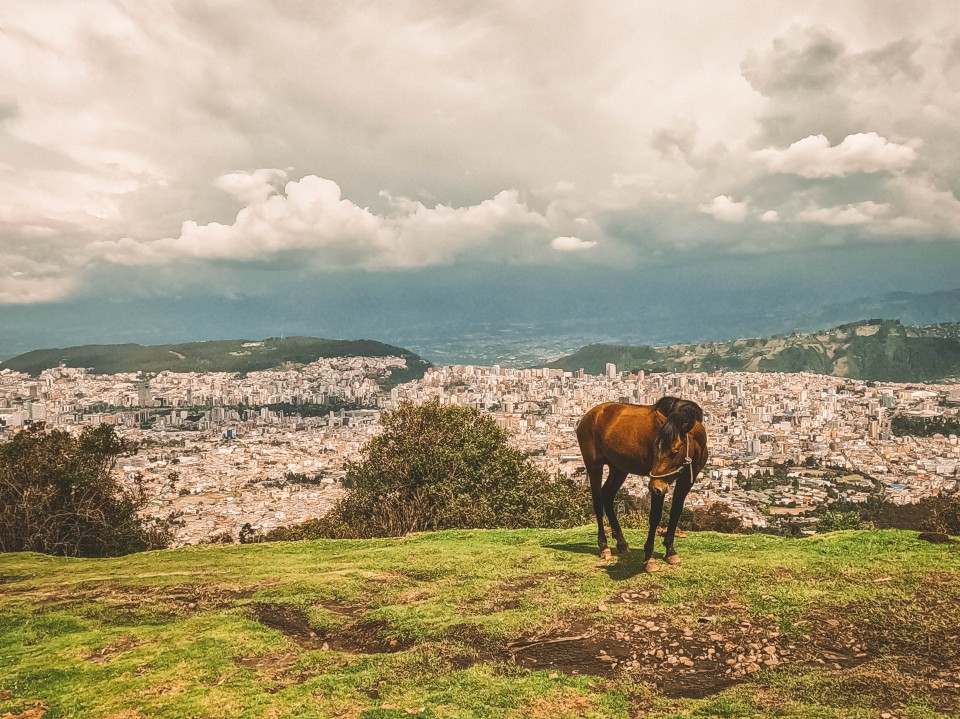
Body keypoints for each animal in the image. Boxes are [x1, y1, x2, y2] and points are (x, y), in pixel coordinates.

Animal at [576, 396, 704, 572]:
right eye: (655, 447)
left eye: (675, 451)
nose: (653, 487)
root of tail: (590, 414)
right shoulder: (660, 484)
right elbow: (655, 517)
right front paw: (649, 558)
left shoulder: (687, 479)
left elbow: (676, 512)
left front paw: (670, 551)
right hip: (594, 464)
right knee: (597, 500)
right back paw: (604, 546)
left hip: (619, 468)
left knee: (607, 495)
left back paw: (621, 542)